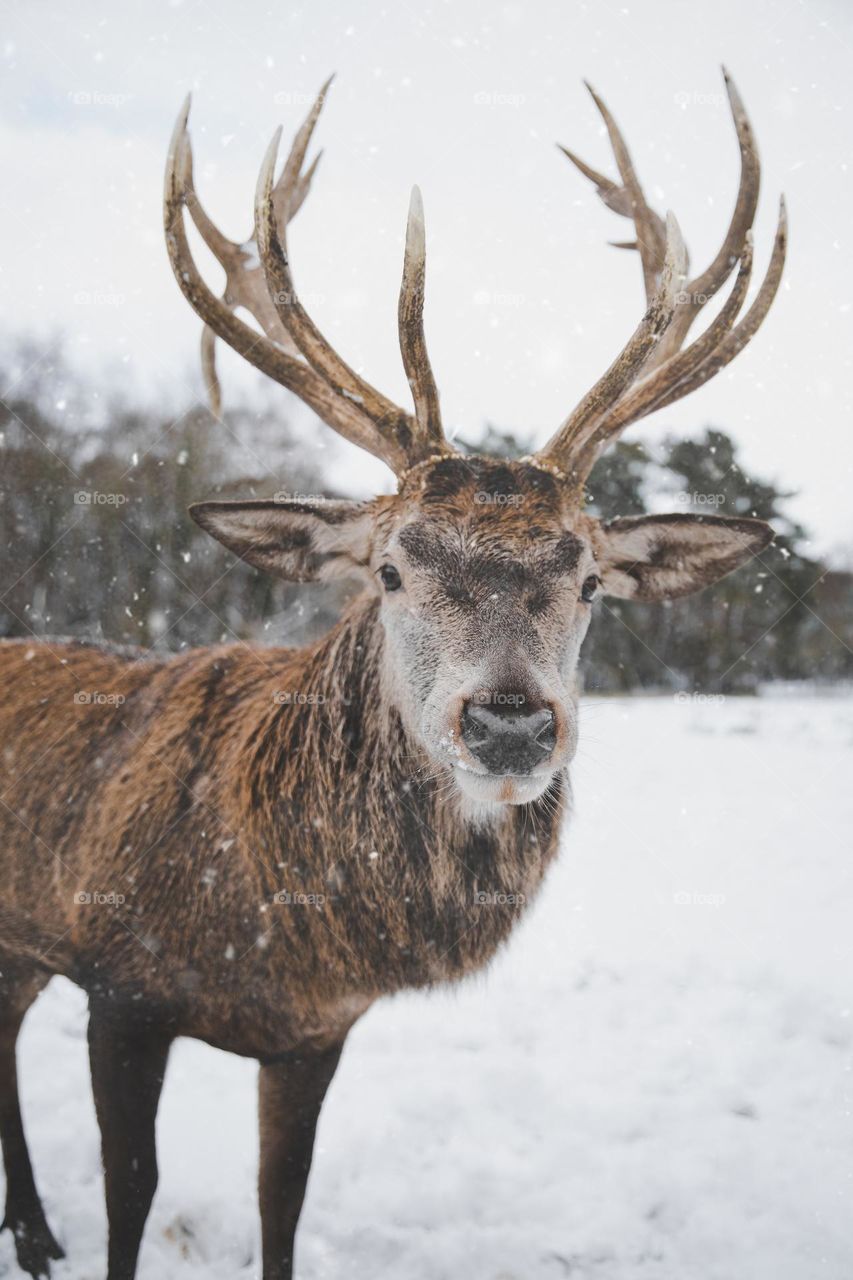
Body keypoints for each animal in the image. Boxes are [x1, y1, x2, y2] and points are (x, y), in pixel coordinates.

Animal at [0, 68, 784, 1280]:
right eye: (389, 566)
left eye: (589, 579)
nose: (509, 723)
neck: (270, 926)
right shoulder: (118, 979)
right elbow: (132, 1197)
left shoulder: (317, 1031)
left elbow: (282, 1200)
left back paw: (34, 1231)